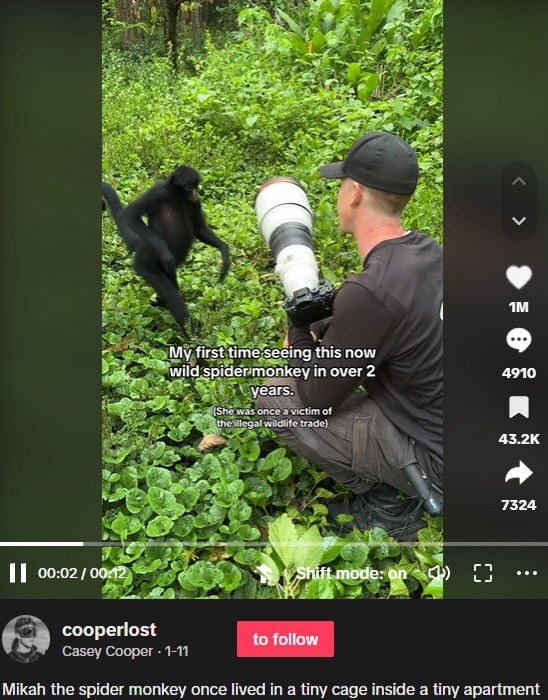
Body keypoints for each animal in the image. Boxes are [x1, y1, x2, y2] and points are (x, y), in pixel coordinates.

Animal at [102, 167, 229, 336]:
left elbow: (199, 229)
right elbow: (128, 216)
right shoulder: (157, 193)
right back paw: (193, 335)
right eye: (189, 187)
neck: (177, 197)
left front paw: (225, 254)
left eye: (196, 187)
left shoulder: (194, 202)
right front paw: (165, 252)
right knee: (170, 293)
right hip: (144, 263)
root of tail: (142, 245)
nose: (196, 193)